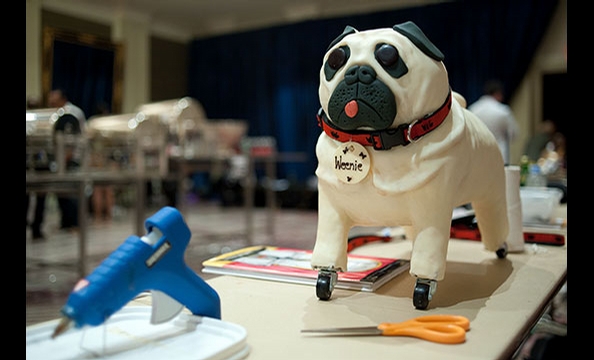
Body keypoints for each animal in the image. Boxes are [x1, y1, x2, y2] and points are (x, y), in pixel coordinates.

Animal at [308, 21, 506, 286]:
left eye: (389, 56)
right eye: (336, 59)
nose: (357, 71)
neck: (373, 139)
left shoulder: (432, 212)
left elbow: (428, 255)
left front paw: (424, 286)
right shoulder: (332, 211)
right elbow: (329, 250)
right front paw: (325, 278)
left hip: (491, 191)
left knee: (493, 216)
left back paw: (501, 247)